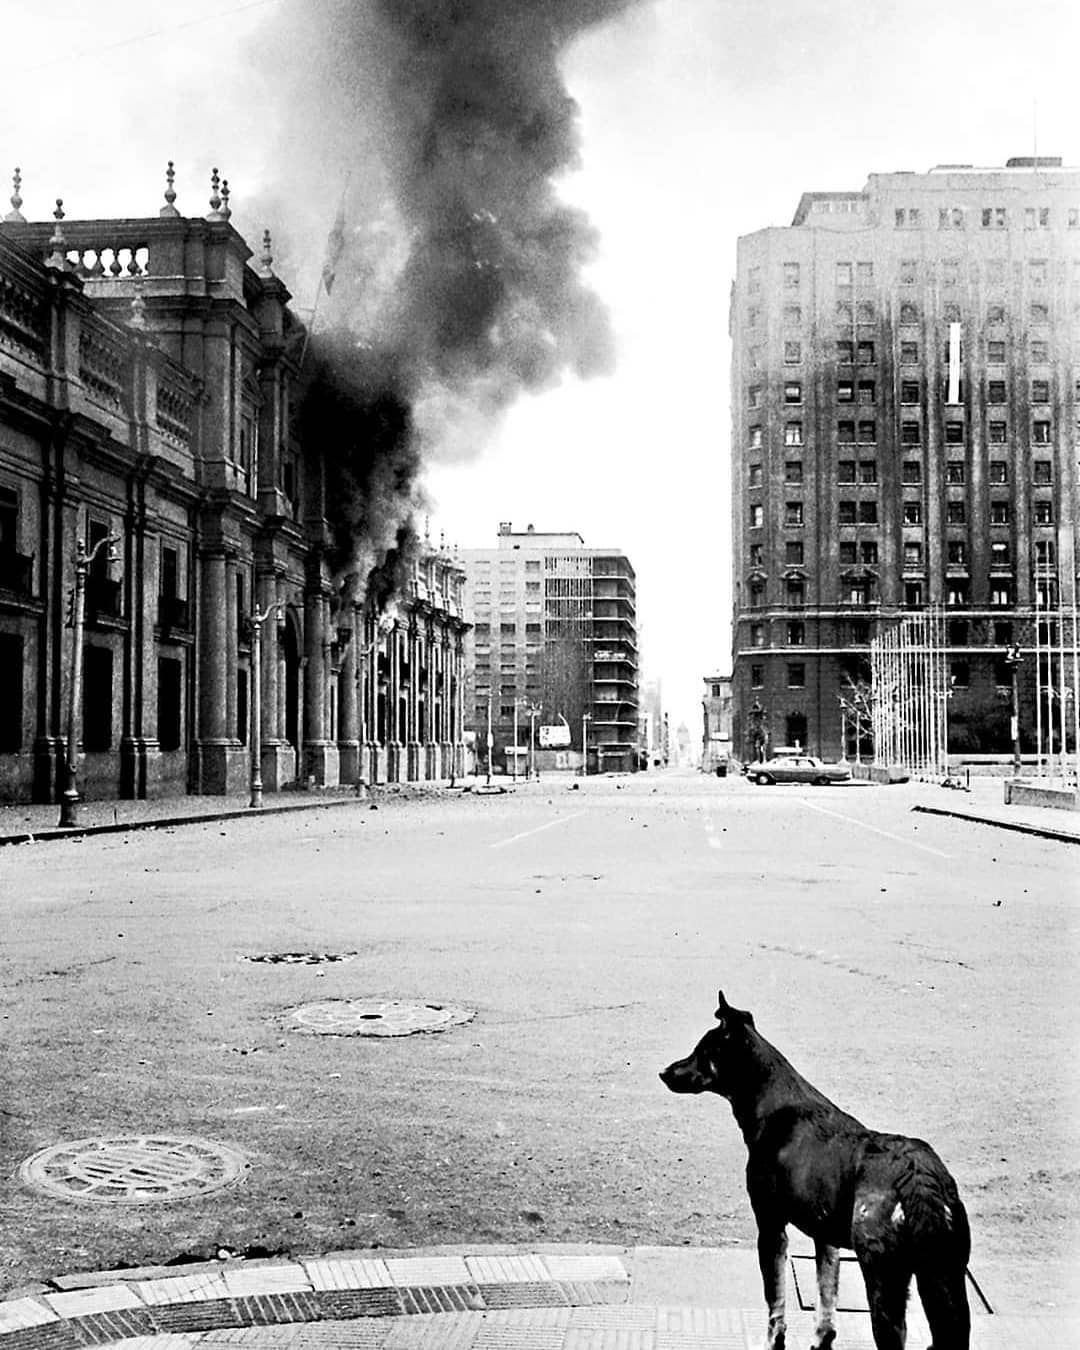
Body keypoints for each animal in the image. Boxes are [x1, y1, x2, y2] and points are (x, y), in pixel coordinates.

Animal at [658, 988, 972, 1344]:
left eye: (701, 1051)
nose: (664, 1073)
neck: (772, 1103)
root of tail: (918, 1176)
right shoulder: (826, 1237)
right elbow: (826, 1307)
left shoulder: (770, 1225)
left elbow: (775, 1306)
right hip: (949, 1278)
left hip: (884, 1276)